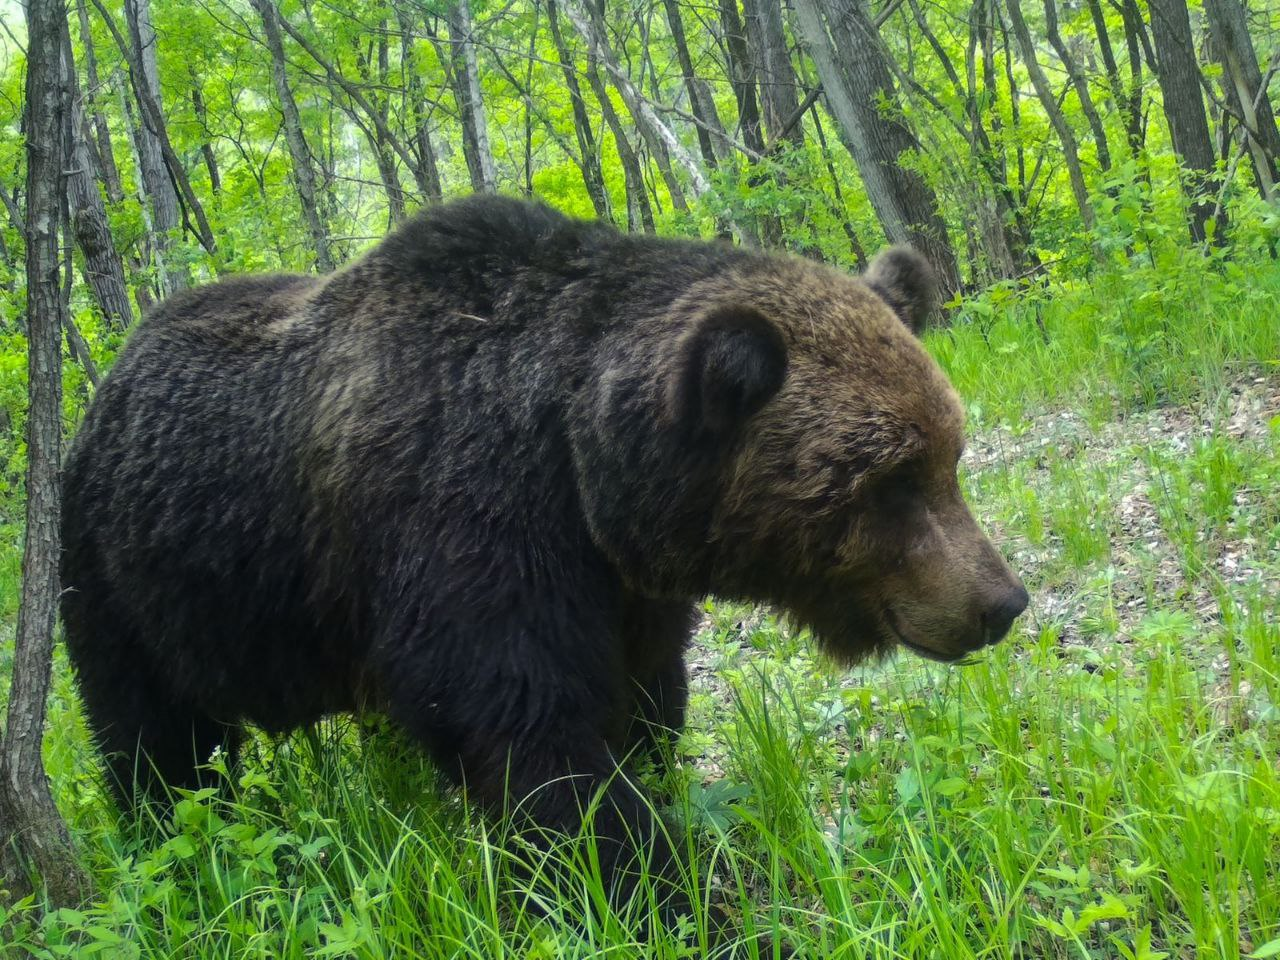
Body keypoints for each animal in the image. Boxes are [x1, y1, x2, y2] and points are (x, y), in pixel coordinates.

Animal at [64, 192, 1029, 911]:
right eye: (891, 481)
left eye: (948, 456)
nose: (1000, 602)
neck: (582, 469)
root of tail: (106, 384)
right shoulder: (467, 526)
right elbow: (536, 737)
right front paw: (664, 893)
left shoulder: (623, 588)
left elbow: (644, 707)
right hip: (131, 585)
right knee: (156, 748)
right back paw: (176, 850)